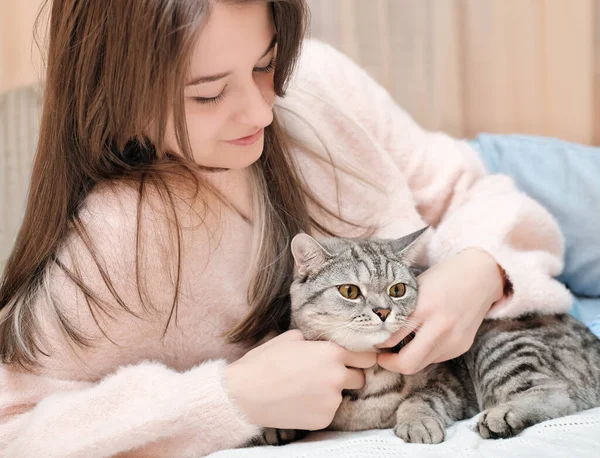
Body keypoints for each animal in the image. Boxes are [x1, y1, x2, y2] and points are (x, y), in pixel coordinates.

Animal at [255, 227, 600, 446]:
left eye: (397, 289)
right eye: (350, 291)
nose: (383, 311)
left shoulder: (451, 386)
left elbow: (419, 398)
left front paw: (417, 422)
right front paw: (277, 424)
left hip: (498, 345)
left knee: (557, 393)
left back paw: (504, 415)